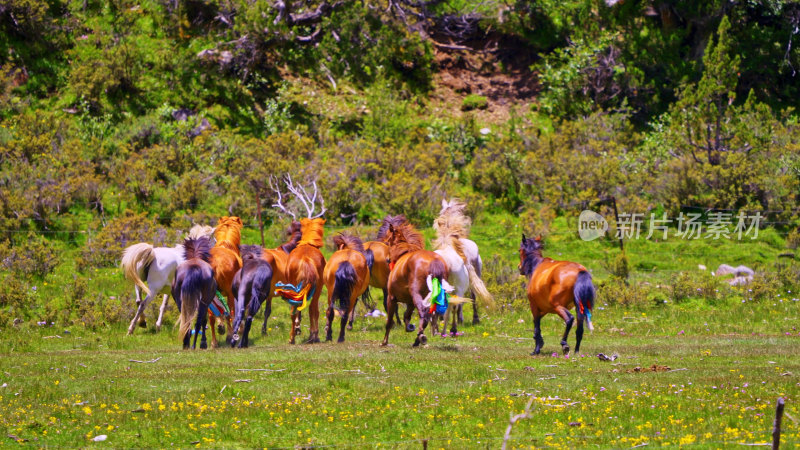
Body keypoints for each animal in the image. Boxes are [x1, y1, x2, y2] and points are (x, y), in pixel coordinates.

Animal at [206, 217, 244, 348]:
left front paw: (220, 326)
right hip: (230, 293)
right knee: (229, 314)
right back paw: (229, 336)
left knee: (211, 317)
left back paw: (214, 342)